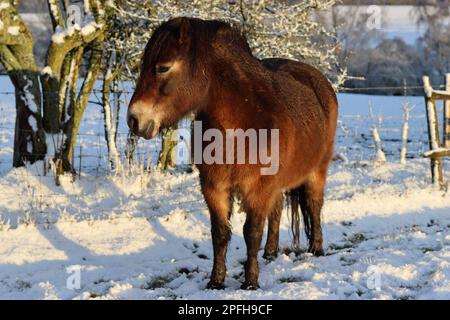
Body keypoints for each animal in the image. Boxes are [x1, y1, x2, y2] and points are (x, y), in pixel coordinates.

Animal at [126, 16, 338, 290]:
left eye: (163, 67)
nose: (134, 120)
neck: (241, 125)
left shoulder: (257, 189)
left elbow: (251, 232)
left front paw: (250, 282)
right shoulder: (214, 187)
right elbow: (220, 233)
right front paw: (216, 281)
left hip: (317, 170)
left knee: (314, 205)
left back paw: (316, 249)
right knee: (278, 207)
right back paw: (270, 252)